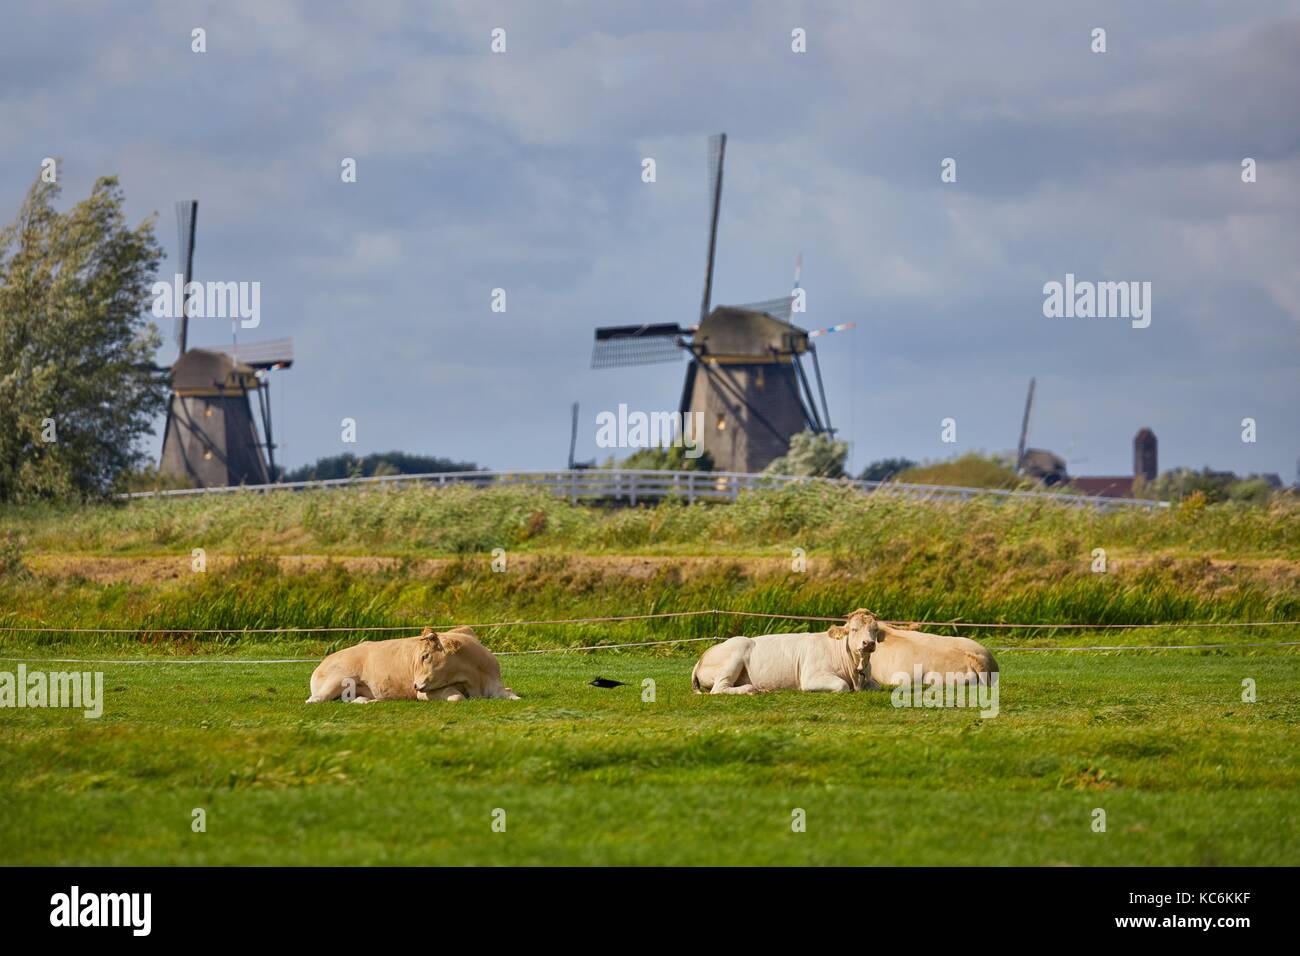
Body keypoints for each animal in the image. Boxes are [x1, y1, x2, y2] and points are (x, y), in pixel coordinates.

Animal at [306, 629, 520, 702]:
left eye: (425, 655)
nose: (415, 685)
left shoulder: (495, 684)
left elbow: (511, 694)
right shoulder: (426, 692)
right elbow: (457, 697)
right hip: (339, 679)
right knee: (314, 700)